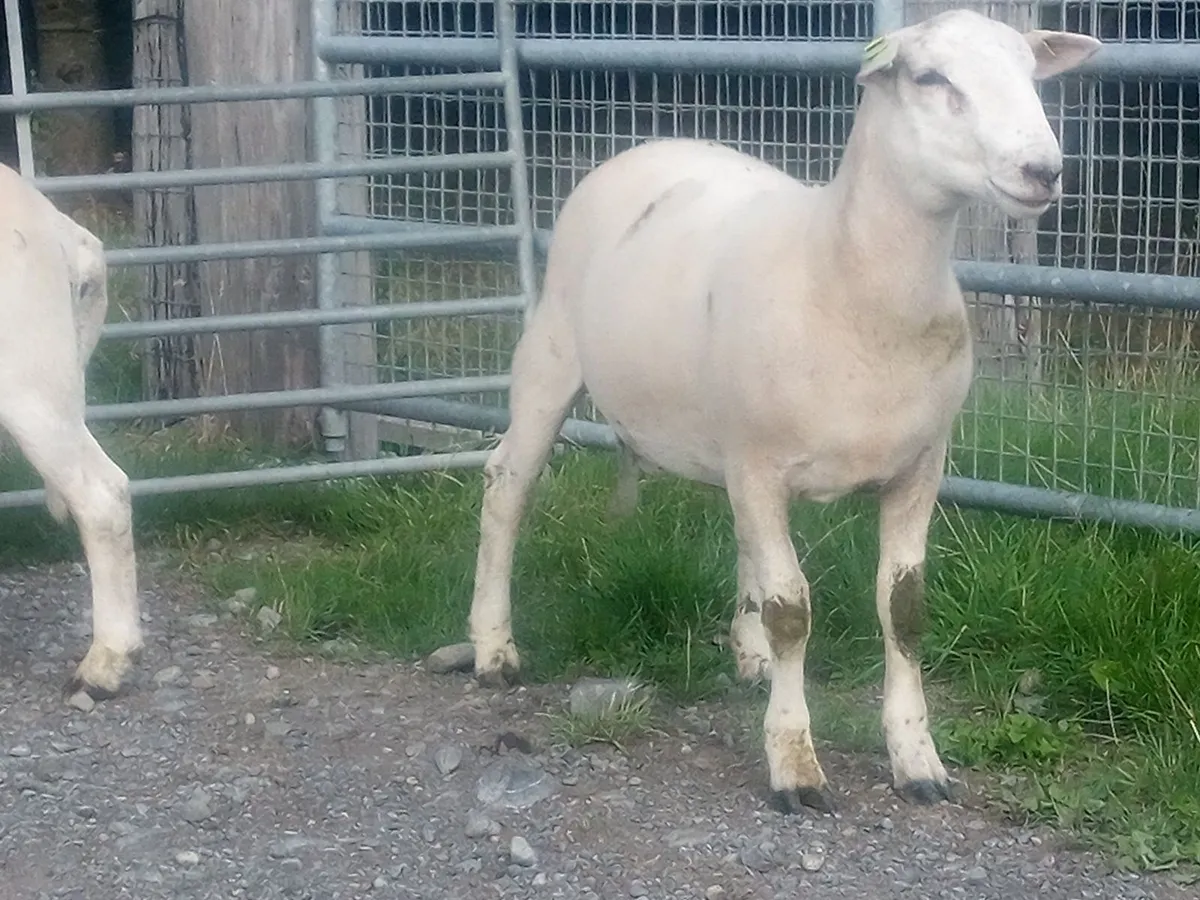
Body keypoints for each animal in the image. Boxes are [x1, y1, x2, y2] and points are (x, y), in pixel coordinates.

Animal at [465, 9, 1101, 812]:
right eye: (930, 78)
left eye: (1029, 72)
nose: (1043, 171)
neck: (848, 274)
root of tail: (660, 142)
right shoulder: (762, 463)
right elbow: (793, 610)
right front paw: (795, 763)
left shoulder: (919, 465)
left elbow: (903, 610)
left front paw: (917, 760)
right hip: (552, 353)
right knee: (507, 486)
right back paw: (494, 647)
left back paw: (752, 657)